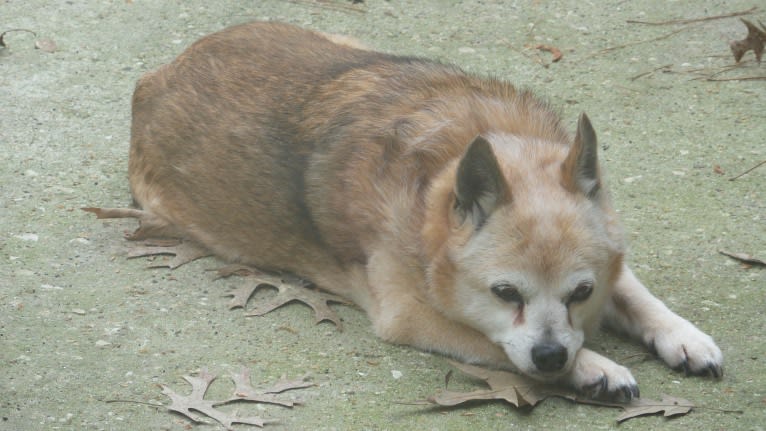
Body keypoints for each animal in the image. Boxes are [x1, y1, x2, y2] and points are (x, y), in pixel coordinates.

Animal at [97, 22, 728, 402]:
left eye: (581, 292)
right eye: (505, 294)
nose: (552, 357)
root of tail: (154, 79)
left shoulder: (610, 263)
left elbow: (636, 293)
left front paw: (682, 334)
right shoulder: (411, 316)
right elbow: (488, 339)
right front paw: (596, 366)